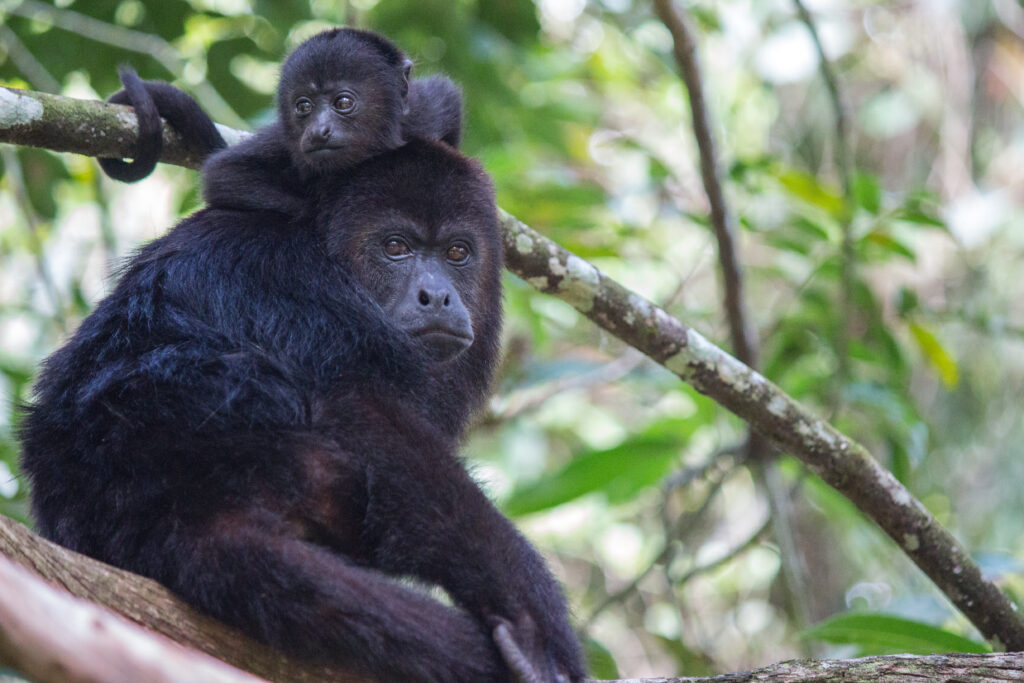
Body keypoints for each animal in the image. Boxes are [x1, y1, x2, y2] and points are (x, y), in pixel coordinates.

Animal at [20, 139, 585, 682]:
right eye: (395, 247)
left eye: (457, 252)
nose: (437, 295)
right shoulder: (298, 290)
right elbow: (376, 431)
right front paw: (535, 620)